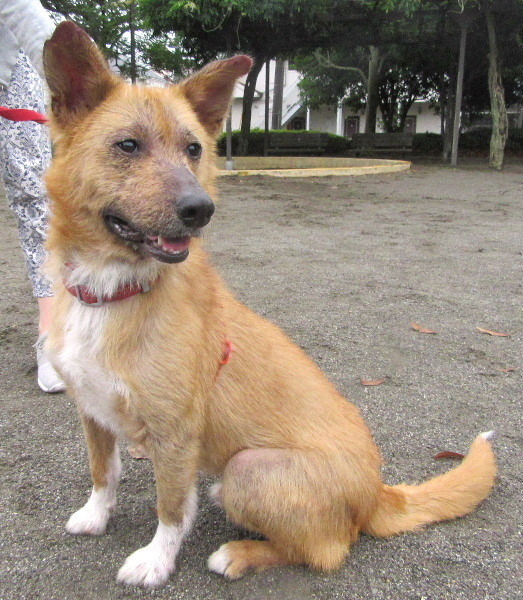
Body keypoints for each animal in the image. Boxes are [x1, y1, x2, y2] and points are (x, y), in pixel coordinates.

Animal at [42, 22, 496, 587]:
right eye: (128, 145)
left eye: (194, 149)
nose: (200, 209)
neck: (112, 291)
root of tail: (377, 494)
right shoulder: (93, 411)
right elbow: (104, 473)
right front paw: (96, 515)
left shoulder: (176, 432)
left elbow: (171, 507)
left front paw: (156, 560)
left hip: (246, 470)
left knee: (327, 550)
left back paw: (239, 554)